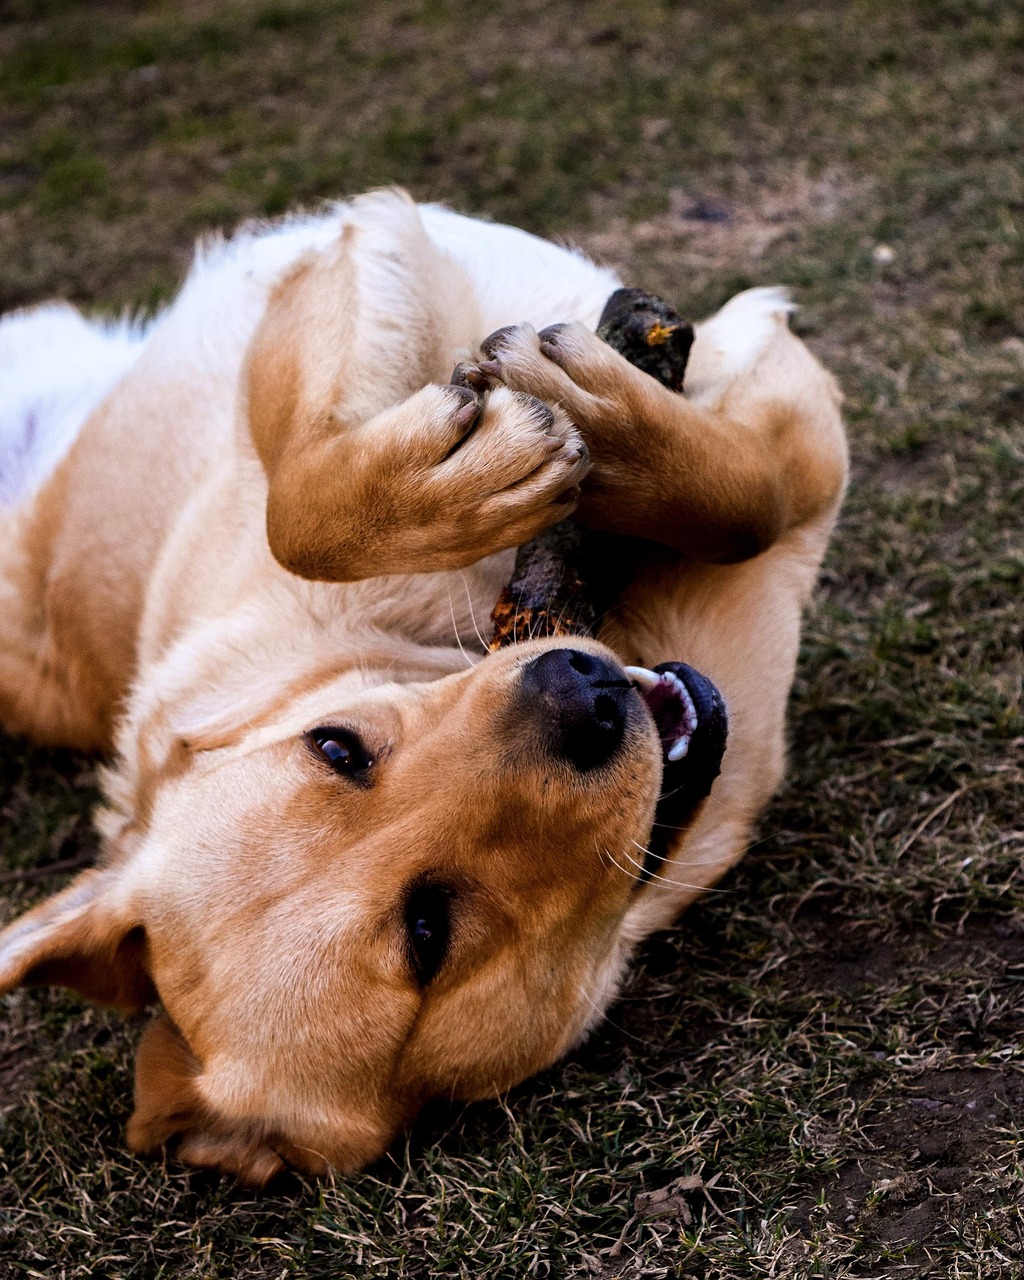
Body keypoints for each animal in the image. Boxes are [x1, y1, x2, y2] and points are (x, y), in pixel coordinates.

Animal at [0, 189, 849, 1177]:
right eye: (428, 936)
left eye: (336, 747)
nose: (584, 691)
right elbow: (758, 502)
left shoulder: (349, 262)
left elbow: (300, 512)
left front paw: (604, 428)